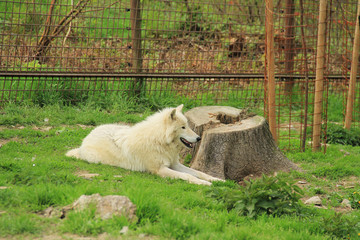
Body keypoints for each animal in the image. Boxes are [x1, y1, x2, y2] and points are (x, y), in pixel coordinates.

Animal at [65, 104, 221, 185]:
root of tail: (88, 135)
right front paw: (206, 184)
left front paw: (217, 180)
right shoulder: (160, 170)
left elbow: (199, 173)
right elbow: (189, 176)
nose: (199, 138)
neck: (160, 141)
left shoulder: (174, 164)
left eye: (188, 125)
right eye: (183, 127)